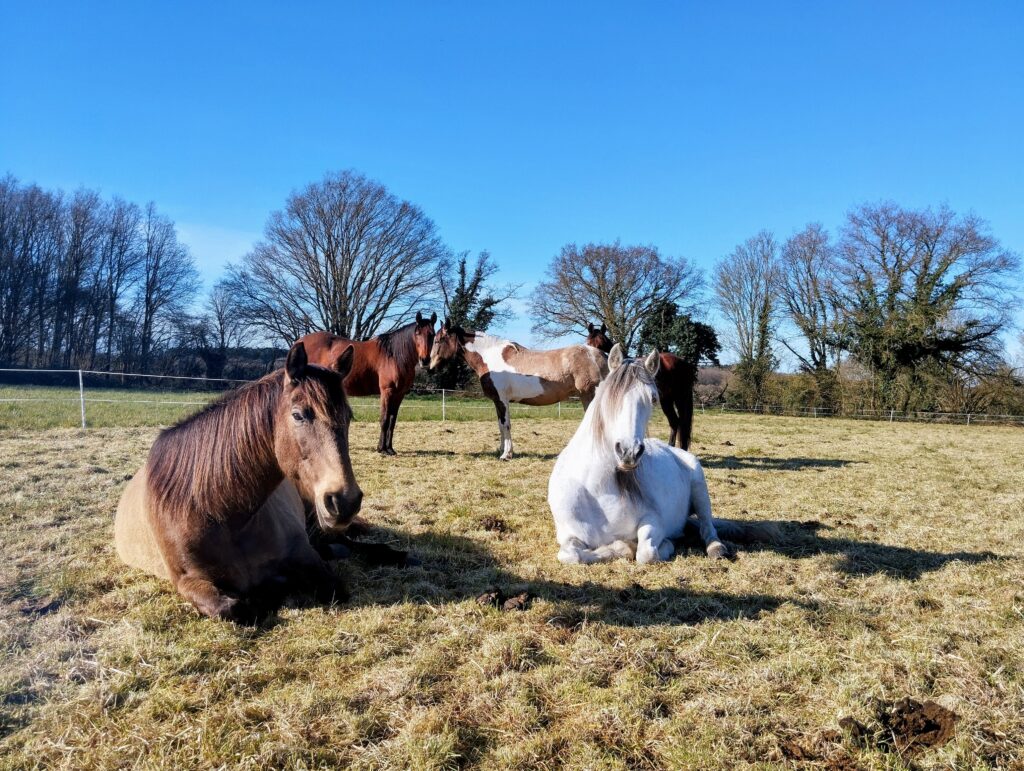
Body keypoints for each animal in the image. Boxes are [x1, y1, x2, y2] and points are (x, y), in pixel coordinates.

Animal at [114, 341, 363, 621]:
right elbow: (233, 607)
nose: (345, 501)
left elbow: (334, 587)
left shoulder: (306, 554)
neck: (219, 514)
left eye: (349, 417)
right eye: (298, 415)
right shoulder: (187, 582)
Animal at [298, 311, 436, 455]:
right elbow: (384, 419)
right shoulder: (387, 392)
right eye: (418, 333)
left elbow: (392, 421)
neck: (394, 356)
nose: (425, 360)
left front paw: (390, 448)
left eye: (432, 334)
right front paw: (382, 449)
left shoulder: (399, 394)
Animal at [429, 320, 608, 460]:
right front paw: (501, 450)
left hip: (589, 396)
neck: (489, 357)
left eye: (438, 340)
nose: (430, 367)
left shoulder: (502, 400)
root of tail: (601, 356)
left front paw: (506, 454)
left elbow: (506, 425)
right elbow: (500, 425)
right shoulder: (497, 401)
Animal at [548, 343, 778, 564]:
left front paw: (655, 545)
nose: (629, 451)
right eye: (609, 396)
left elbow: (646, 552)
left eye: (653, 398)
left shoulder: (654, 520)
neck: (599, 490)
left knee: (707, 528)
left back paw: (715, 548)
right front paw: (622, 547)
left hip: (700, 490)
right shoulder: (567, 535)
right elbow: (570, 555)